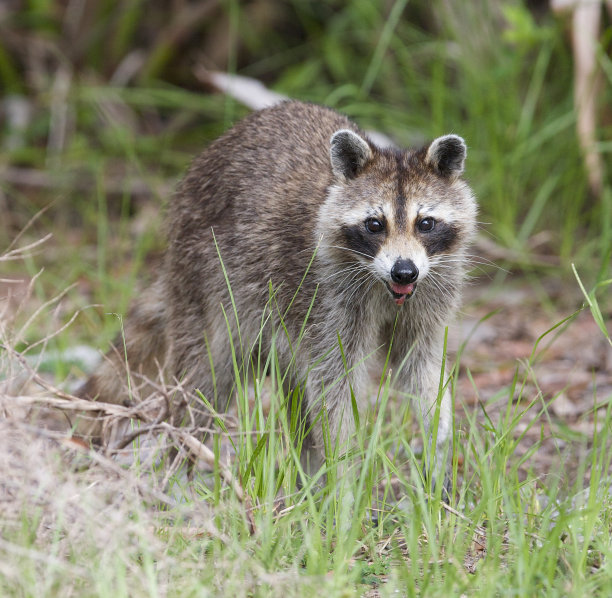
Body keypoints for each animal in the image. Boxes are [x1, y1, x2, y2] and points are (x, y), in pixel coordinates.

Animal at [77, 102, 478, 482]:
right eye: (374, 225)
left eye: (425, 223)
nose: (404, 270)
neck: (382, 284)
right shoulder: (324, 299)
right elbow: (334, 387)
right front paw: (345, 475)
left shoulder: (431, 290)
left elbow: (423, 369)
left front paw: (438, 446)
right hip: (202, 276)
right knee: (205, 375)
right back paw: (182, 461)